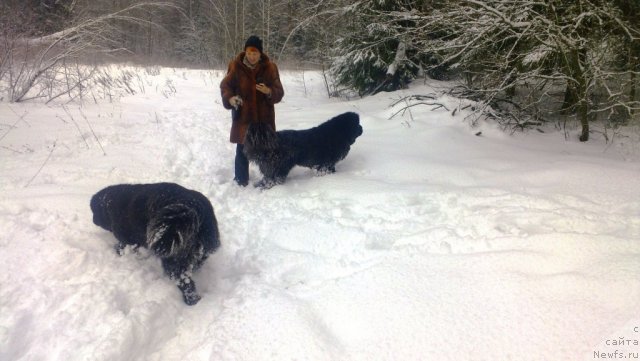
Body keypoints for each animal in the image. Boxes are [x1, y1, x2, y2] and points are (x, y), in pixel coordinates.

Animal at [89, 183, 220, 304]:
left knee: (185, 282)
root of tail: (192, 209)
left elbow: (122, 247)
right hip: (202, 251)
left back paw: (191, 300)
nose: (93, 220)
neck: (111, 204)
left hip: (174, 260)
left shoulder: (129, 241)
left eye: (94, 211)